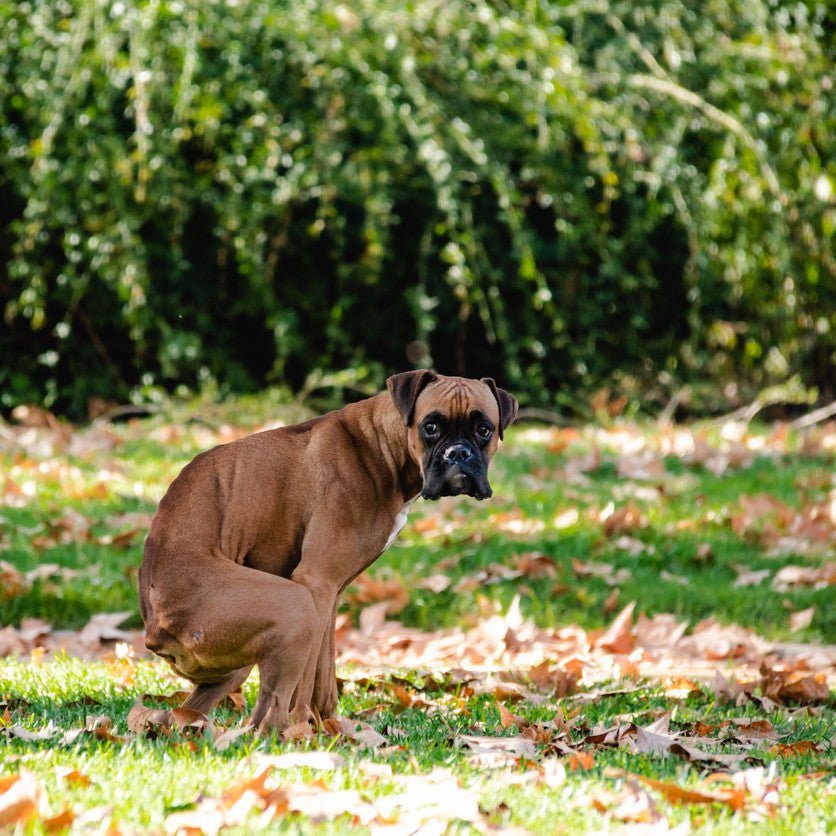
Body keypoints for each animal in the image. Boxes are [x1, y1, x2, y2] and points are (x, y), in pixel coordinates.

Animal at [138, 372, 516, 732]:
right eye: (430, 427)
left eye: (484, 430)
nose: (458, 453)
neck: (382, 447)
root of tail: (155, 631)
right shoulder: (315, 583)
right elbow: (306, 681)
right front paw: (302, 730)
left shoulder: (330, 594)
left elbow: (324, 670)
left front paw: (332, 727)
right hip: (295, 607)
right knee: (266, 715)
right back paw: (282, 734)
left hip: (235, 664)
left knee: (185, 714)